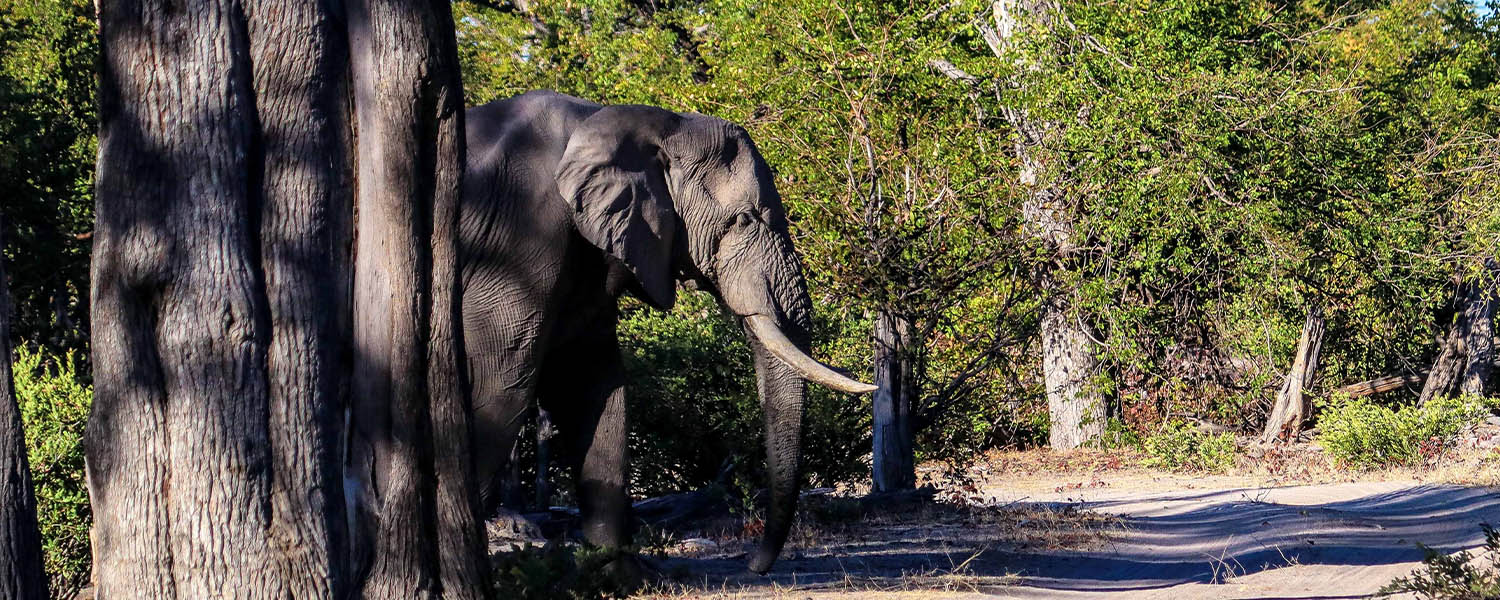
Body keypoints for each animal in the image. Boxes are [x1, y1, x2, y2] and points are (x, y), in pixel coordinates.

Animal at [460, 90, 875, 573]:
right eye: (745, 220)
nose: (753, 563)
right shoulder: (520, 238)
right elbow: (502, 385)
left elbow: (592, 386)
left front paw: (613, 569)